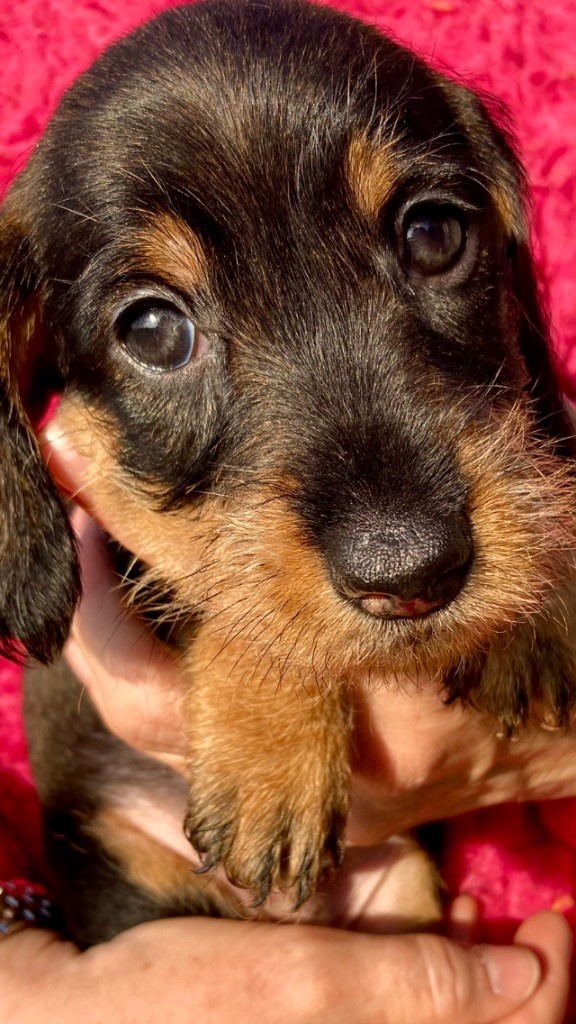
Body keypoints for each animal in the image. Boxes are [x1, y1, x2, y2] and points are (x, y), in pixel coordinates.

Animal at [1, 0, 575, 947]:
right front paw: (272, 740)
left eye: (433, 235)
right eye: (153, 330)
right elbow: (233, 585)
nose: (412, 573)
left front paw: (544, 606)